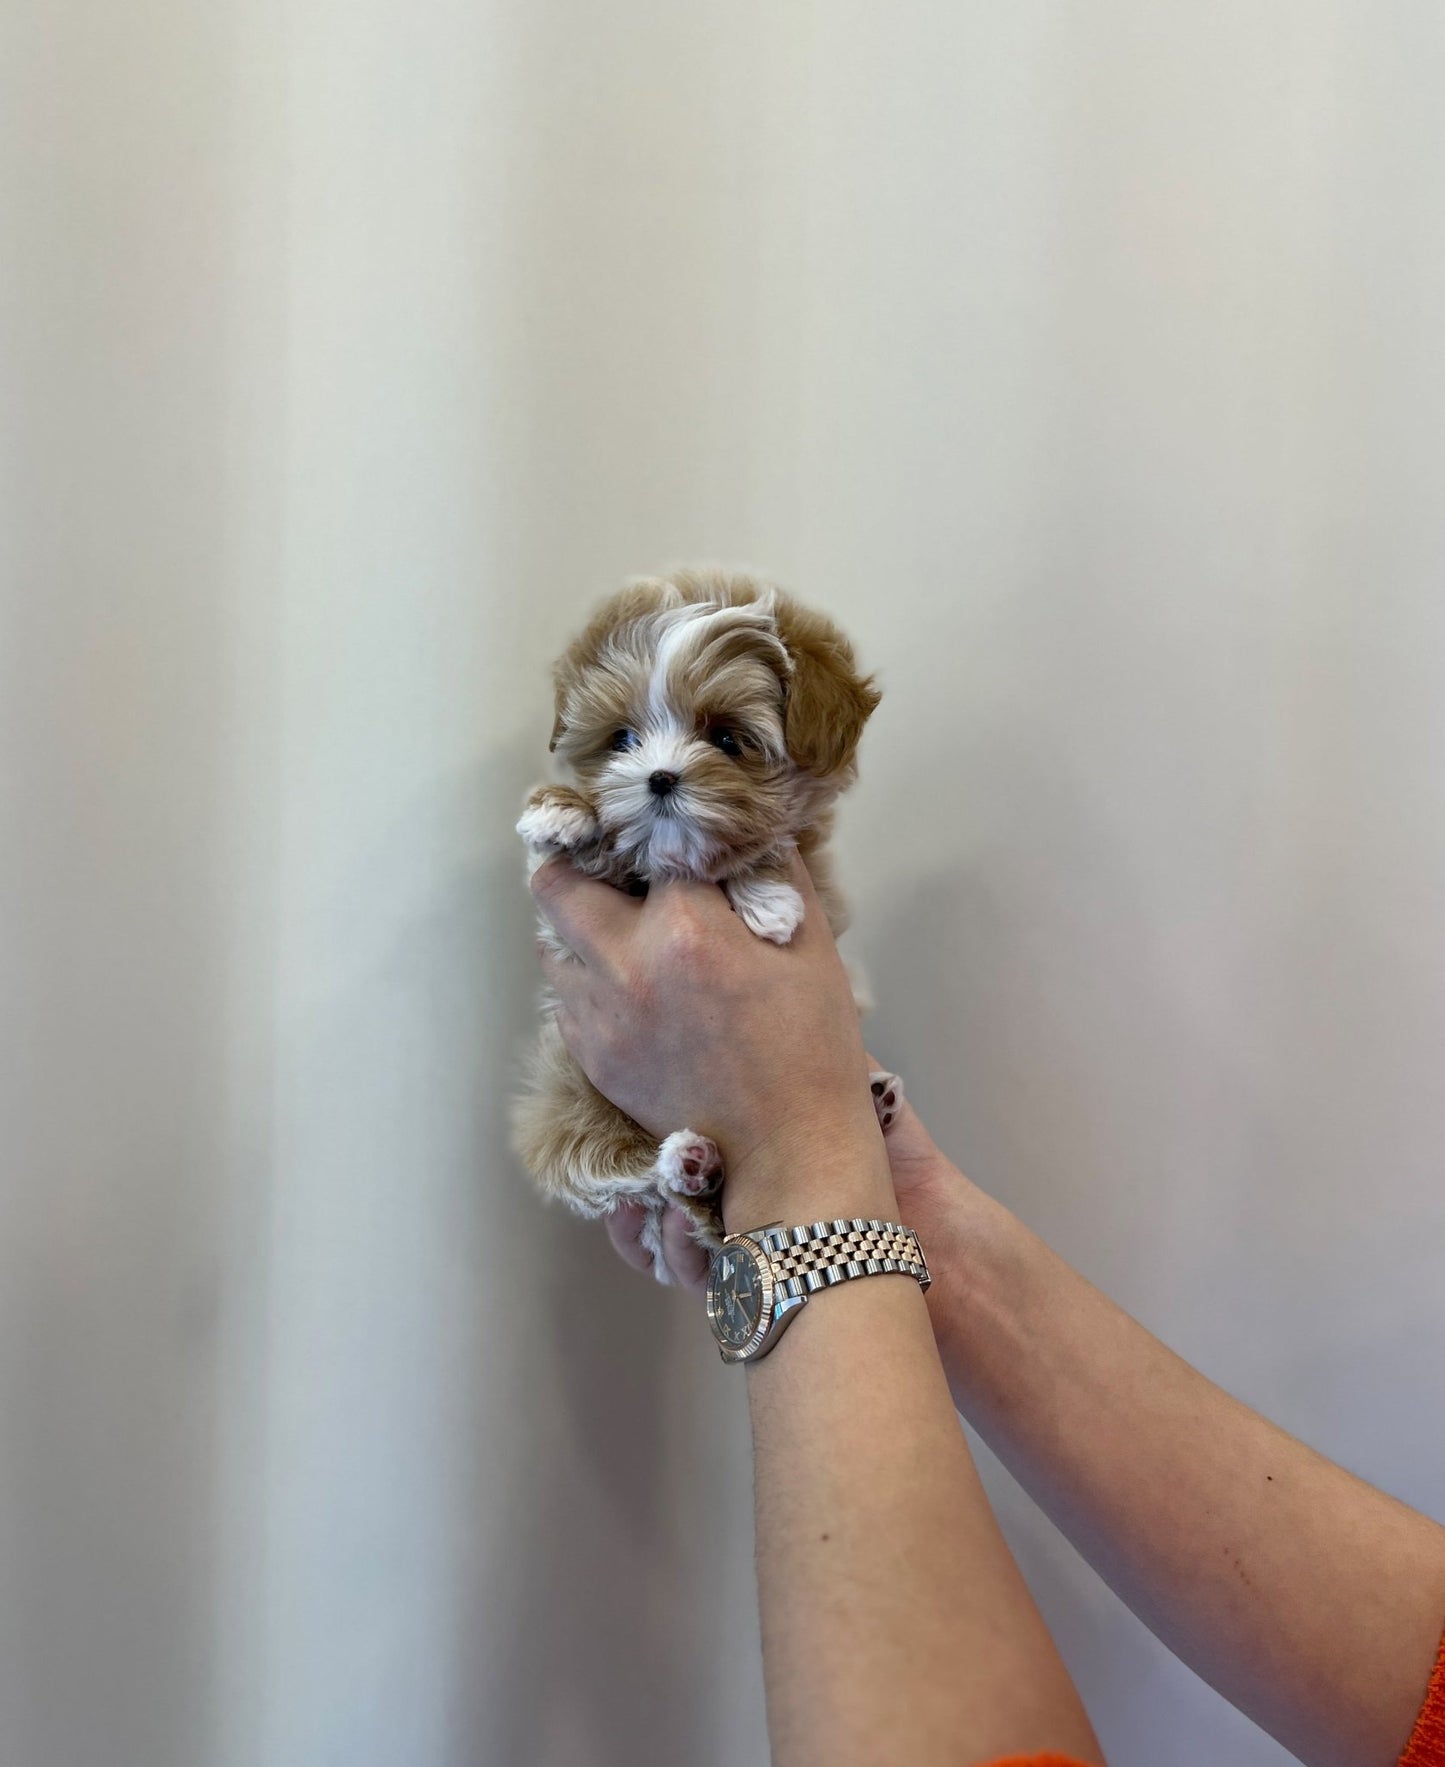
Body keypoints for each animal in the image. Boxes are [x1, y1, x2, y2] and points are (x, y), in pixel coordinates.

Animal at [508, 568, 900, 1286]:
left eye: (726, 740)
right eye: (622, 741)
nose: (659, 777)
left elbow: (770, 845)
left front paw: (767, 897)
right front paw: (561, 813)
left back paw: (875, 1105)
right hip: (568, 1096)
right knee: (613, 1167)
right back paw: (687, 1164)